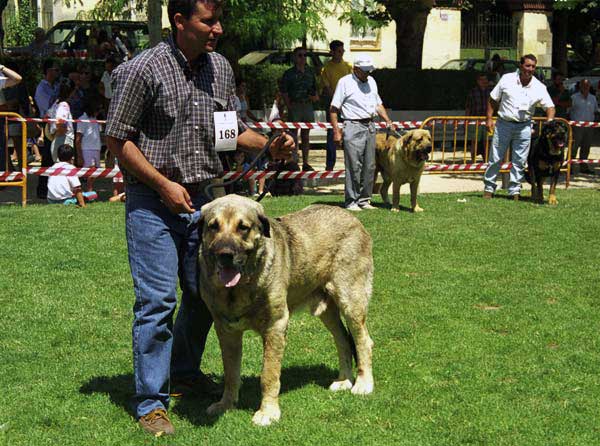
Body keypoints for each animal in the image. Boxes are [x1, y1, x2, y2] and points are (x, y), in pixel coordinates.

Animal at [199, 195, 372, 426]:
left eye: (243, 227)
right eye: (213, 226)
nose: (225, 254)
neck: (241, 287)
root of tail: (352, 218)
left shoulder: (276, 325)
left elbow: (269, 374)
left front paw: (268, 412)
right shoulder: (226, 330)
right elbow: (231, 372)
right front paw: (225, 405)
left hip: (350, 300)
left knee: (363, 341)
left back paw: (363, 383)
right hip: (326, 310)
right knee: (343, 341)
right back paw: (344, 380)